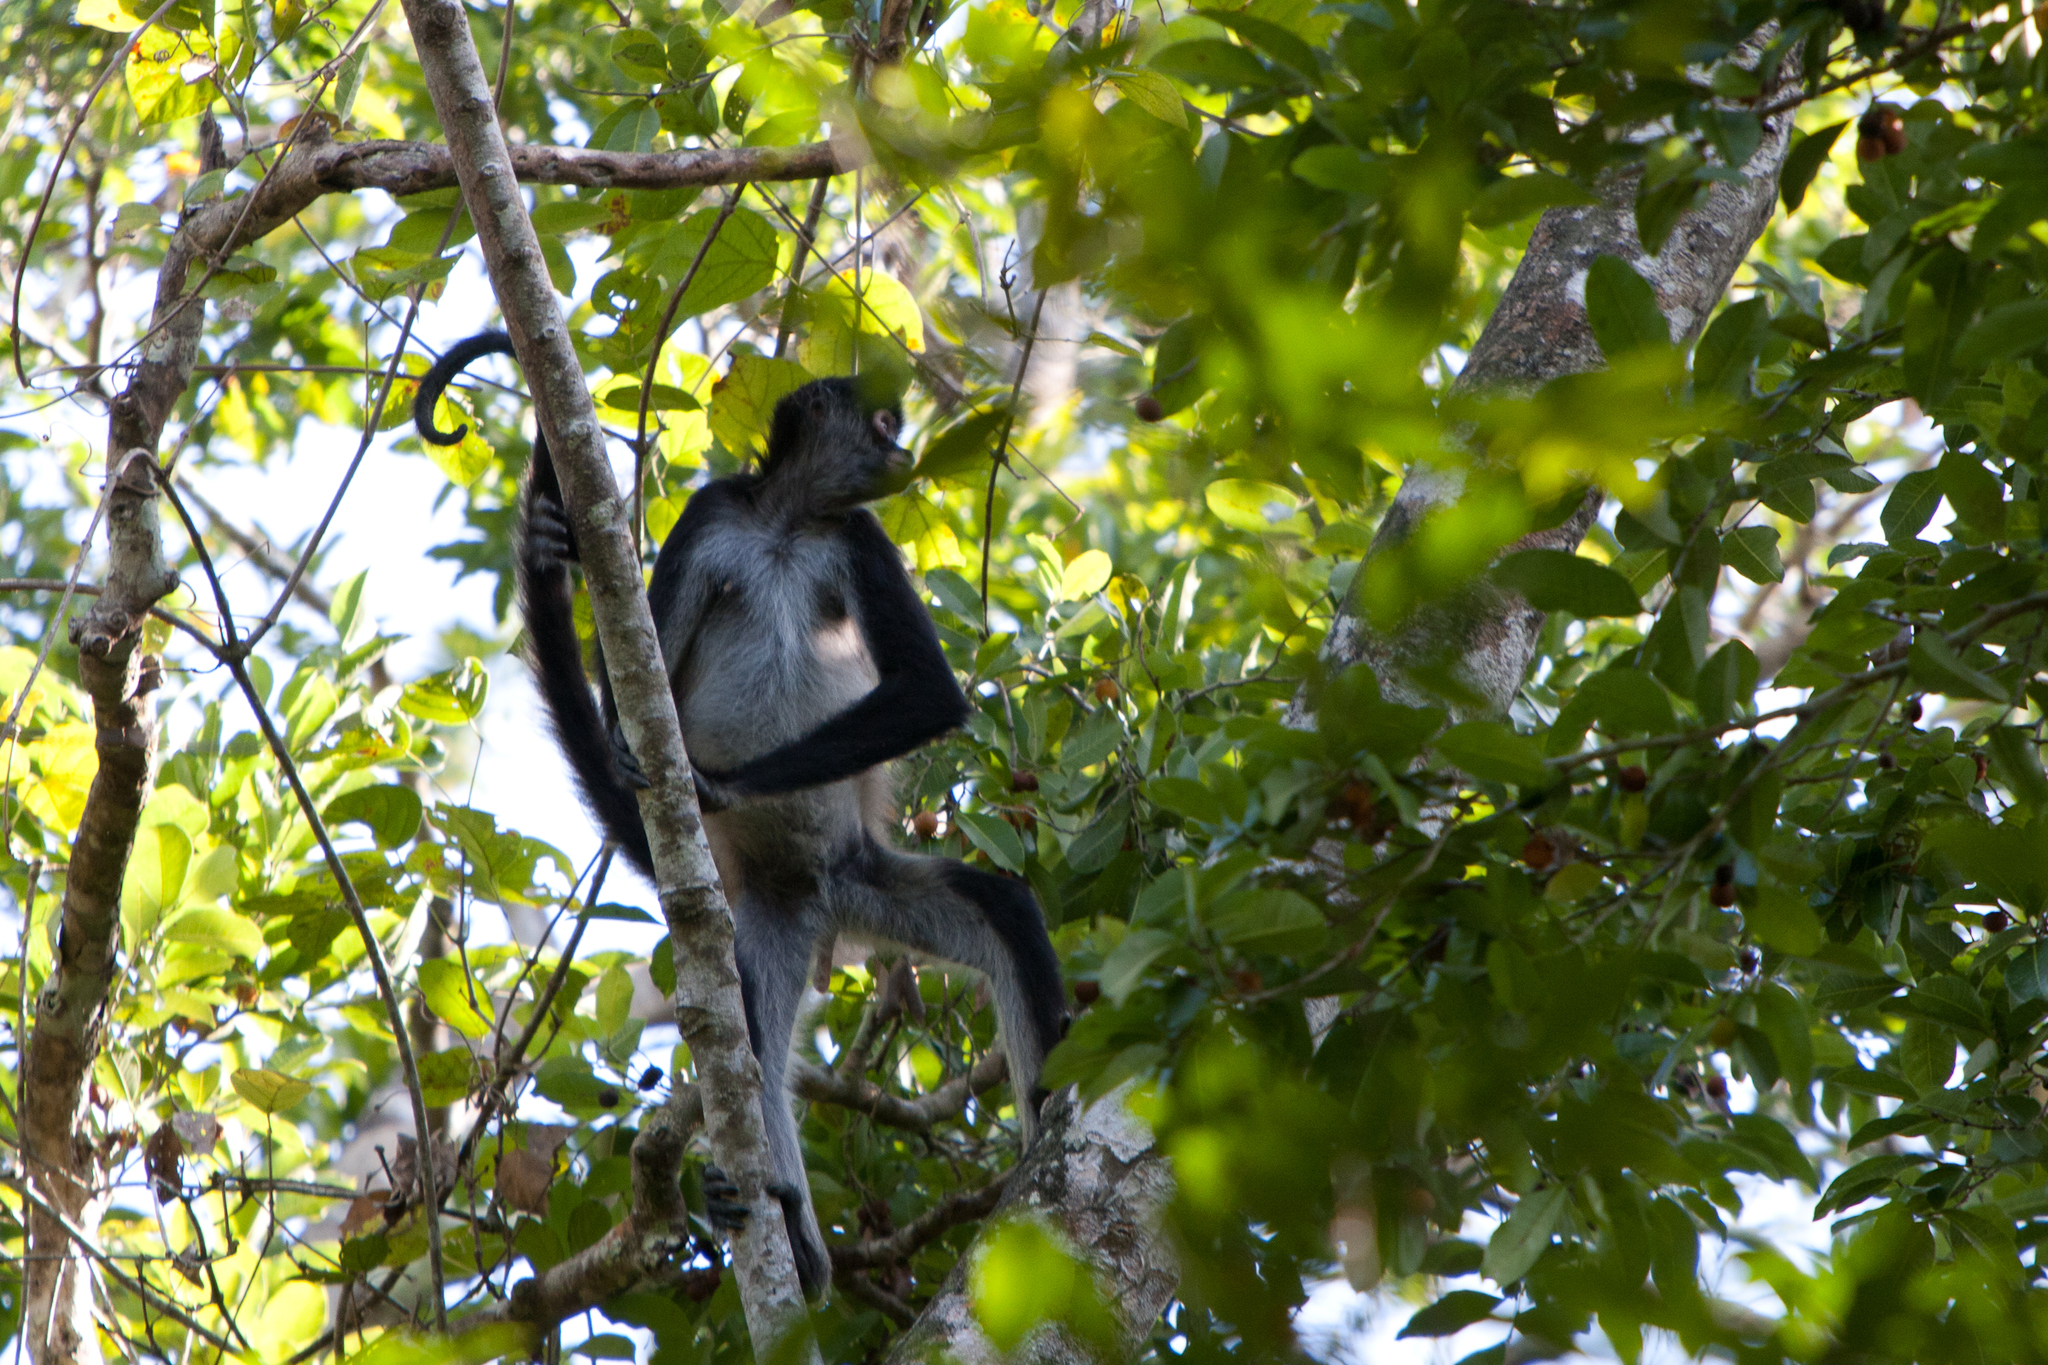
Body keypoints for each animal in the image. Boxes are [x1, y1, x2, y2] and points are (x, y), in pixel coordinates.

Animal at [409, 331, 1064, 1301]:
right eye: (883, 422)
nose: (904, 452)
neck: (788, 523)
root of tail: (814, 889)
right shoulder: (715, 513)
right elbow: (625, 706)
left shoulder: (858, 534)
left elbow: (930, 694)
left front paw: (722, 786)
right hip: (765, 912)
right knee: (743, 1019)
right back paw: (786, 1217)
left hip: (862, 875)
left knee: (1003, 909)